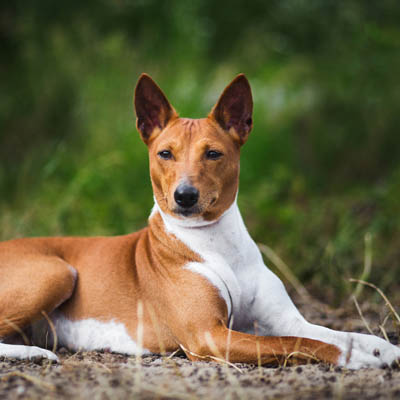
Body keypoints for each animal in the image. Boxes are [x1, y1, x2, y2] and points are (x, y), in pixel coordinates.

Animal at [0, 74, 400, 368]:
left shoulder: (285, 319)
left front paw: (381, 348)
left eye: (213, 154)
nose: (185, 196)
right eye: (165, 154)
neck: (216, 243)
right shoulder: (208, 335)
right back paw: (36, 354)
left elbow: (331, 333)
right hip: (58, 272)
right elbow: (296, 342)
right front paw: (356, 359)